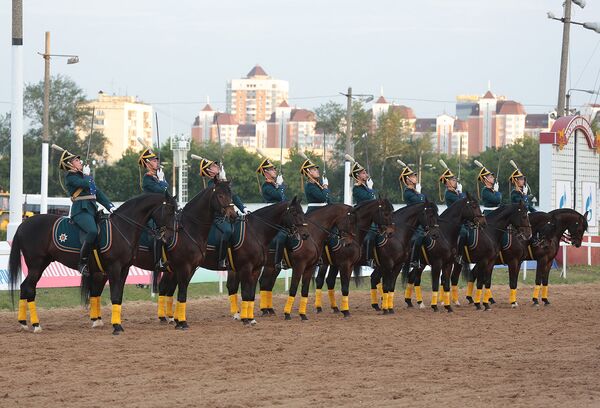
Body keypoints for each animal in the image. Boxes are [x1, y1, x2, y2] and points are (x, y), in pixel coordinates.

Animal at [8, 193, 177, 334]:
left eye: (176, 212)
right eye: (169, 211)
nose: (169, 238)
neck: (122, 228)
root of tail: (24, 224)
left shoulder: (124, 269)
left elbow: (119, 296)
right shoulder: (114, 268)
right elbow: (115, 295)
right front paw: (116, 326)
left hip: (42, 264)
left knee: (24, 287)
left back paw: (23, 323)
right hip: (36, 265)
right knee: (29, 288)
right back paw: (36, 325)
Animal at [88, 180, 236, 330]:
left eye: (230, 194)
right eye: (220, 195)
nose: (232, 215)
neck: (189, 228)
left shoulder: (184, 269)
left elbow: (172, 291)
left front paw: (175, 319)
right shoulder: (184, 267)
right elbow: (181, 293)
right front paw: (181, 322)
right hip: (107, 269)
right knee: (96, 290)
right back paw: (97, 320)